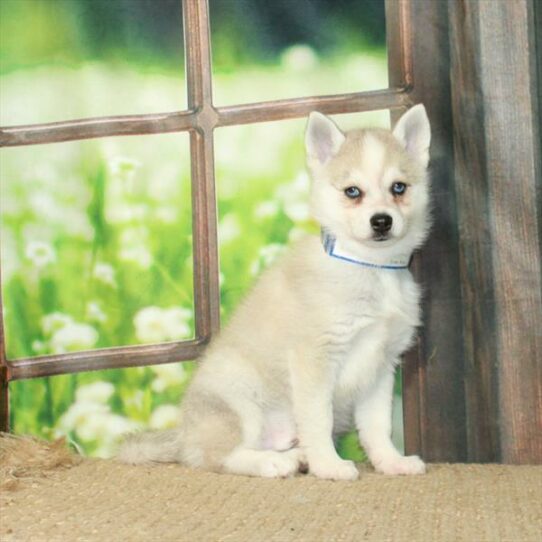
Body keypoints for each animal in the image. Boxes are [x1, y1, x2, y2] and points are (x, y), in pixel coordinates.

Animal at [120, 105, 434, 480]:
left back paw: (296, 456)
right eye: (352, 191)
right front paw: (328, 465)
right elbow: (319, 420)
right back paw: (272, 462)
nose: (382, 221)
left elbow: (376, 426)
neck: (369, 267)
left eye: (399, 187)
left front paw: (390, 461)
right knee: (219, 457)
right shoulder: (314, 359)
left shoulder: (380, 367)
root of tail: (184, 434)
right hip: (237, 396)